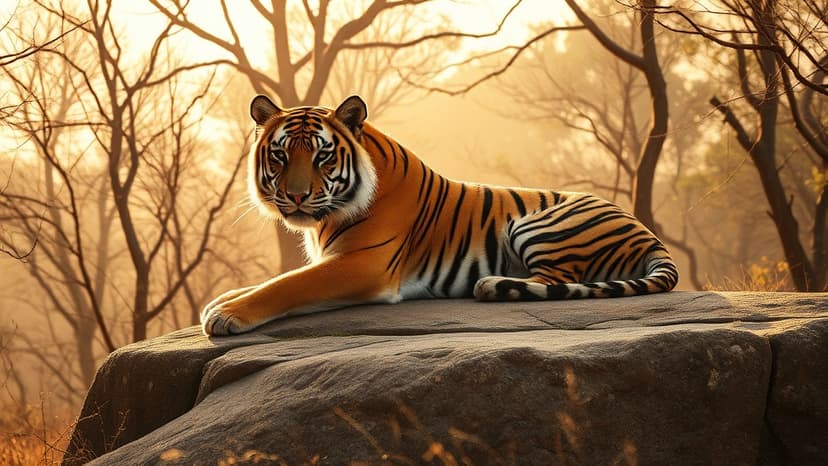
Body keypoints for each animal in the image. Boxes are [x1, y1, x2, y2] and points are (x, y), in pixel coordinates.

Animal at [201, 95, 678, 335]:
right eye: (280, 155)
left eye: (322, 156)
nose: (297, 197)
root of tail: (648, 233)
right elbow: (274, 278)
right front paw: (219, 301)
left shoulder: (364, 264)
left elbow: (288, 284)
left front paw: (226, 315)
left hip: (536, 222)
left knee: (555, 280)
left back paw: (492, 284)